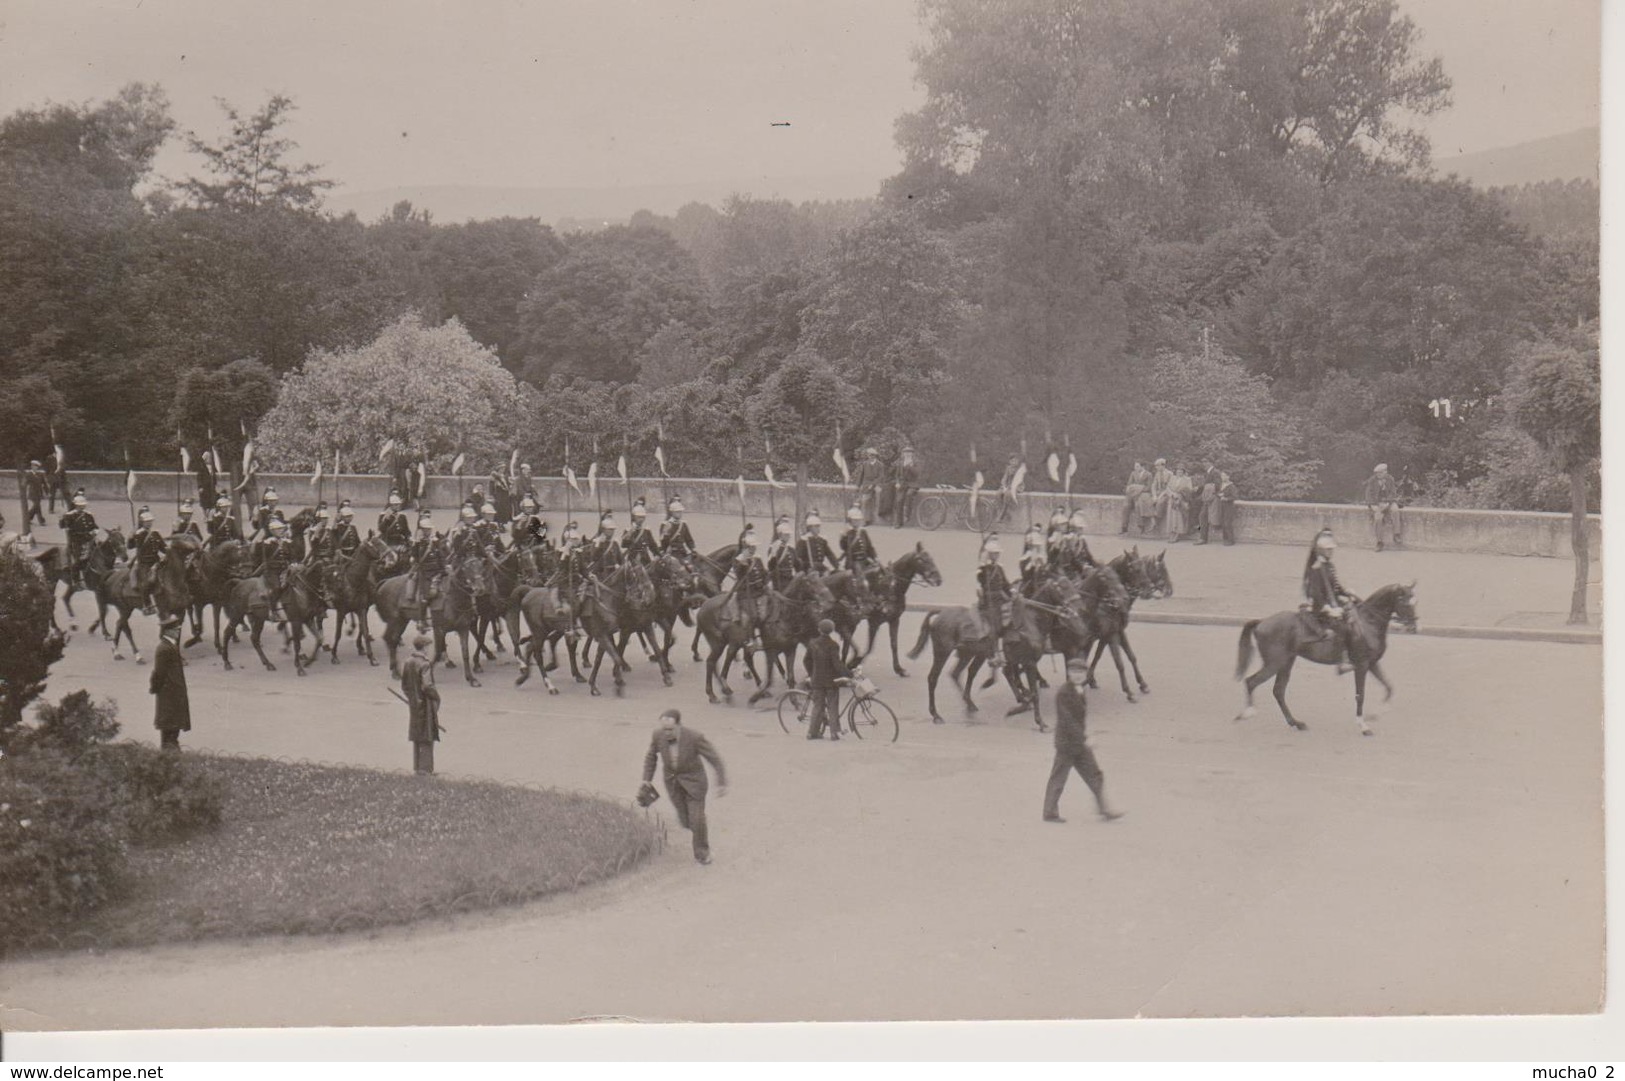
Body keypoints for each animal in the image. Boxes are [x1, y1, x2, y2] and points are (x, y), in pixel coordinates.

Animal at [1235, 581, 1417, 734]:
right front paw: (1363, 725)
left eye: (1415, 602)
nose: (1414, 627)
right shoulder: (1361, 665)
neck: (1368, 623)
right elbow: (1361, 695)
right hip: (1274, 664)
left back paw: (1296, 723)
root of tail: (1262, 621)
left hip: (1286, 663)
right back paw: (1248, 712)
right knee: (1251, 682)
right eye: (1405, 602)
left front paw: (1378, 712)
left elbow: (1388, 686)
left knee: (1278, 691)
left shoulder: (1372, 664)